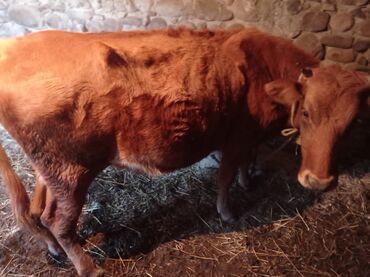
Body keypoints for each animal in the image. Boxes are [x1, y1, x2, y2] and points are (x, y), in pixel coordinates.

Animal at [0, 28, 364, 276]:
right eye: (307, 113)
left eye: (349, 124)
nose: (318, 181)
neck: (262, 69)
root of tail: (15, 48)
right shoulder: (233, 138)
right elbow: (226, 176)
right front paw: (227, 212)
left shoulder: (248, 136)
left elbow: (247, 161)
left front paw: (249, 181)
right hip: (72, 172)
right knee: (59, 223)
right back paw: (89, 268)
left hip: (51, 169)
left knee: (37, 211)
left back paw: (54, 251)